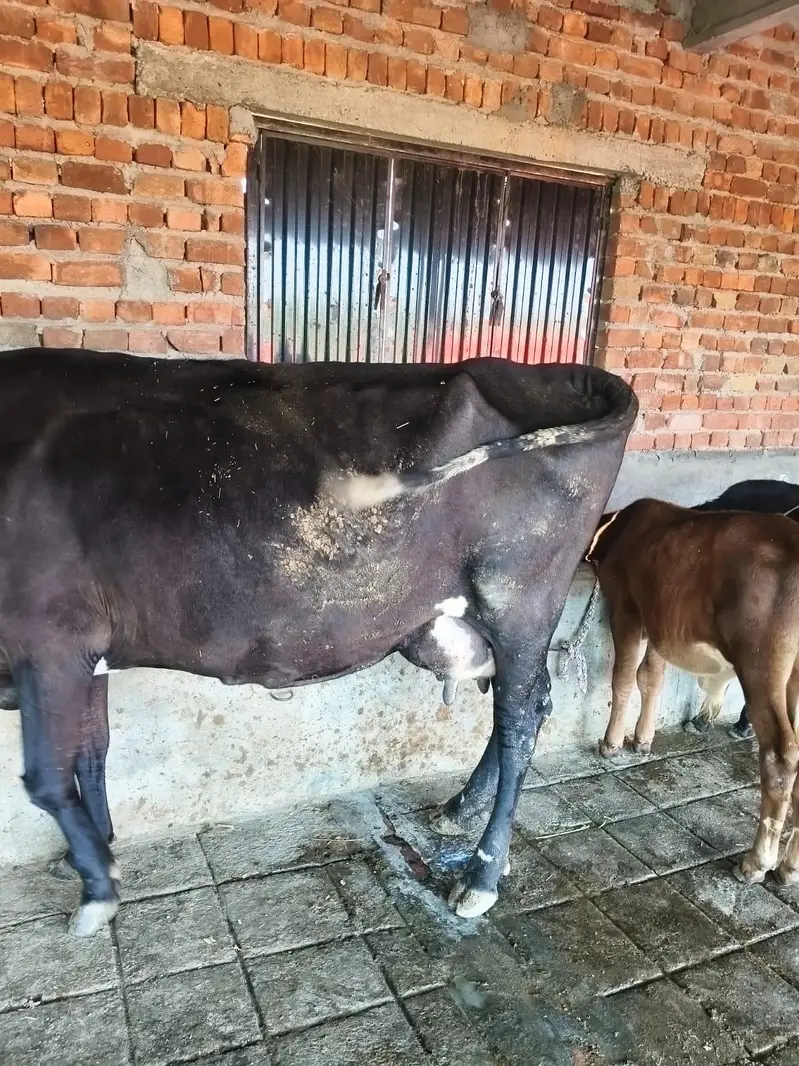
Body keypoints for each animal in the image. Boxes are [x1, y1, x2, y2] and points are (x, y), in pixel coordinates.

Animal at [0, 348, 636, 935]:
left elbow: (46, 778)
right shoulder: (86, 650)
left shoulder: (48, 640)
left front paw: (96, 887)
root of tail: (554, 373)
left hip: (518, 601)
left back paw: (481, 875)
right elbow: (91, 750)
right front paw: (99, 848)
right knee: (532, 704)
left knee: (518, 719)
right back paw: (460, 809)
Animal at [586, 499, 799, 886]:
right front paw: (643, 739)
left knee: (780, 756)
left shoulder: (626, 607)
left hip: (762, 661)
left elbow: (623, 676)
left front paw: (611, 743)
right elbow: (651, 676)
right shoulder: (659, 618)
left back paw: (756, 863)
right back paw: (789, 867)